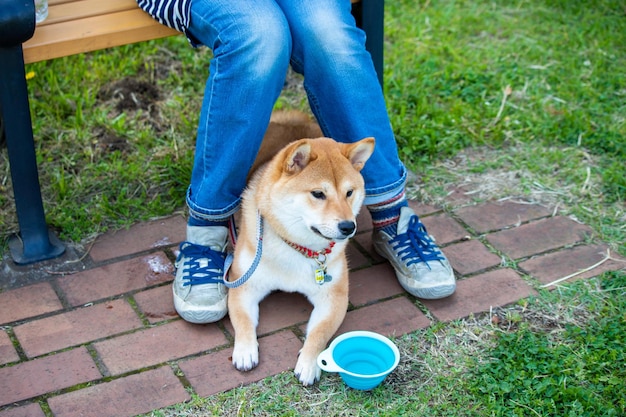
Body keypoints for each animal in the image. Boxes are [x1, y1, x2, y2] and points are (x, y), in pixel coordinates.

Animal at [227, 110, 372, 384]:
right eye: (318, 194)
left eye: (349, 192)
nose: (348, 226)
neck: (298, 248)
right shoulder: (244, 284)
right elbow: (242, 320)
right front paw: (244, 350)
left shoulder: (333, 297)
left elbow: (319, 334)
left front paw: (309, 362)